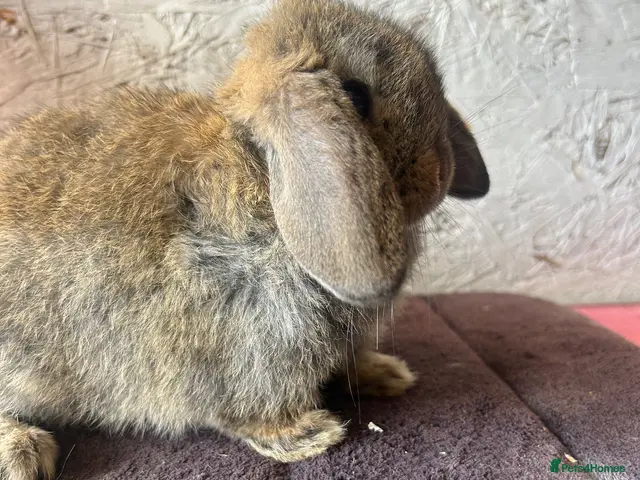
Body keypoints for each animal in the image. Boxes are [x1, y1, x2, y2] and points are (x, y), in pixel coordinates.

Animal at [0, 0, 490, 477]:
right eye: (354, 96)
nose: (440, 176)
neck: (262, 172)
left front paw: (386, 374)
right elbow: (243, 408)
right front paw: (308, 435)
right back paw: (23, 454)